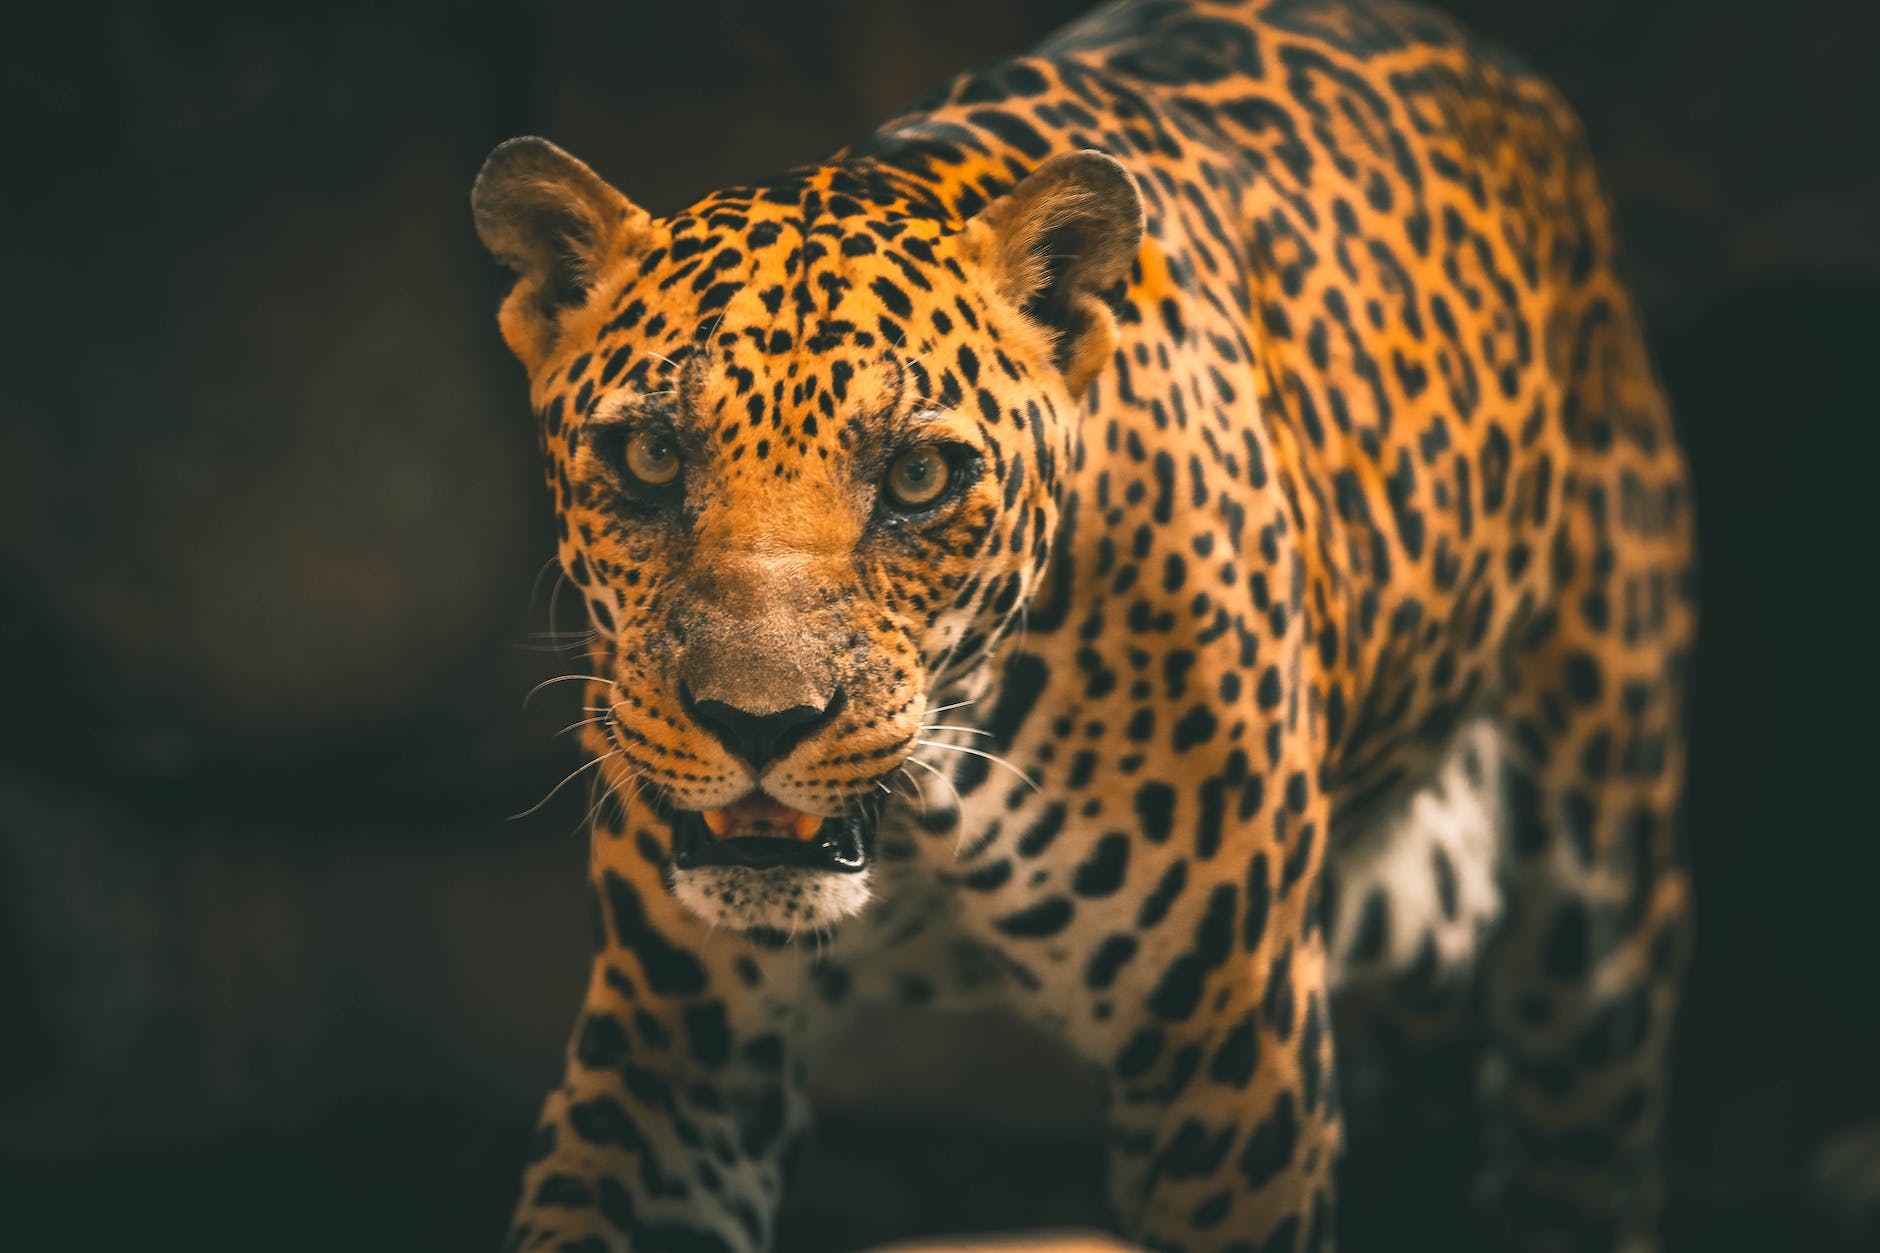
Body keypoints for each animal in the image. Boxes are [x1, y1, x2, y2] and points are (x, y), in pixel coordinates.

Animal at [469, 0, 1696, 1249]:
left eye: (917, 476)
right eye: (648, 454)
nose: (756, 723)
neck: (929, 804)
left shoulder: (1230, 1052)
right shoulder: (673, 1048)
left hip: (1592, 923)